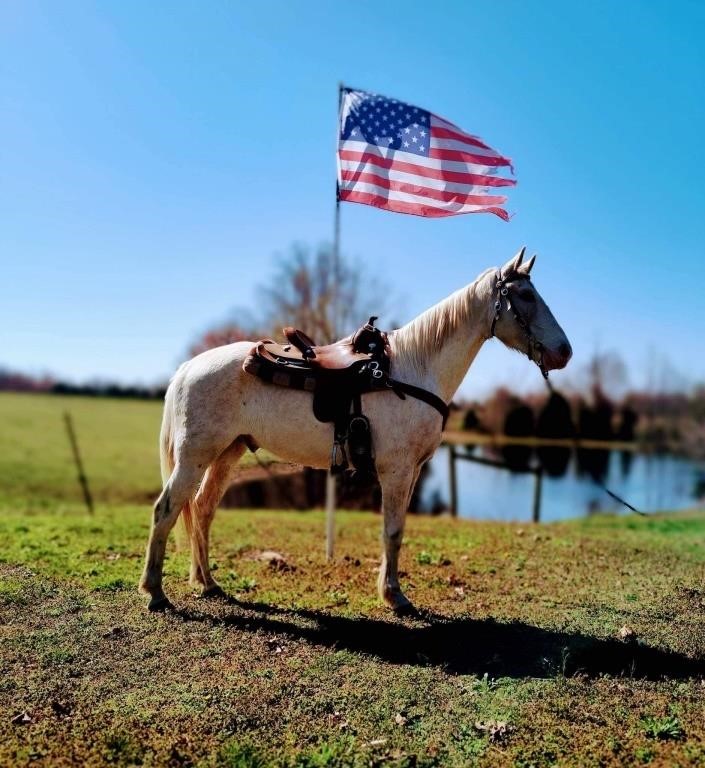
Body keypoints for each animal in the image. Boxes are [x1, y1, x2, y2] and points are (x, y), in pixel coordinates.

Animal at [139, 249, 572, 616]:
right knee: (167, 509)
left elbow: (396, 531)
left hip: (227, 453)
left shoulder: (411, 472)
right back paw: (155, 592)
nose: (564, 352)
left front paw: (389, 589)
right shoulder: (396, 471)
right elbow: (392, 531)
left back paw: (207, 583)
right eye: (525, 295)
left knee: (201, 510)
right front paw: (395, 596)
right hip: (195, 457)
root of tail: (187, 368)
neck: (412, 370)